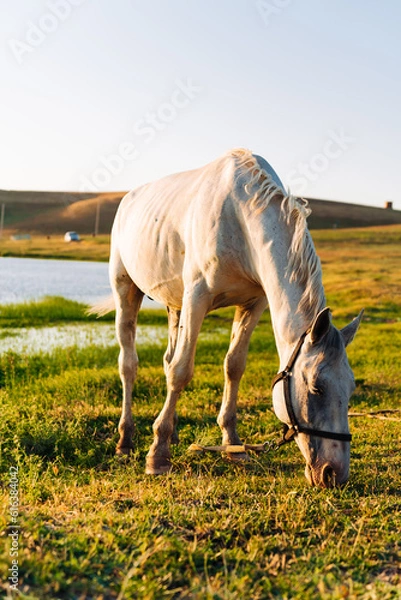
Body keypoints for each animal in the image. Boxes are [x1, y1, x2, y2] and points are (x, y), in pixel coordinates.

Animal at [94, 149, 362, 488]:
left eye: (351, 387)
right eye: (316, 387)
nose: (334, 473)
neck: (240, 218)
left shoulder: (253, 303)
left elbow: (233, 365)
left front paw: (232, 445)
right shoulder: (197, 296)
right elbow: (181, 371)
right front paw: (158, 455)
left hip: (174, 304)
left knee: (167, 358)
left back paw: (172, 430)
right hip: (126, 289)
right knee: (129, 364)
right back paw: (126, 440)